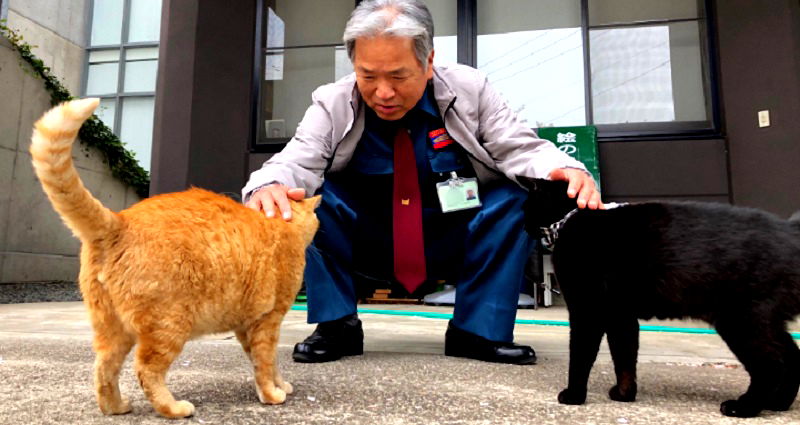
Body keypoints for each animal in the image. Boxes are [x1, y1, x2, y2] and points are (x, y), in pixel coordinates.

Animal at [31, 97, 318, 418]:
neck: (280, 224)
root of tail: (119, 221)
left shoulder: (247, 327)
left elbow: (267, 364)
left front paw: (281, 385)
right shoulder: (266, 322)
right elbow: (265, 364)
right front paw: (271, 394)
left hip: (113, 330)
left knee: (104, 369)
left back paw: (116, 407)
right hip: (168, 326)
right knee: (146, 370)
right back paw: (174, 408)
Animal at [520, 176, 800, 418]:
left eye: (525, 206)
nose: (522, 223)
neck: (569, 220)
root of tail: (789, 229)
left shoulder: (587, 311)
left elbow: (581, 357)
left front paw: (574, 395)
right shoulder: (620, 317)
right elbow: (624, 358)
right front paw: (624, 394)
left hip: (742, 321)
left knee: (771, 365)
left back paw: (744, 407)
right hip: (764, 321)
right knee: (791, 356)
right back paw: (778, 403)